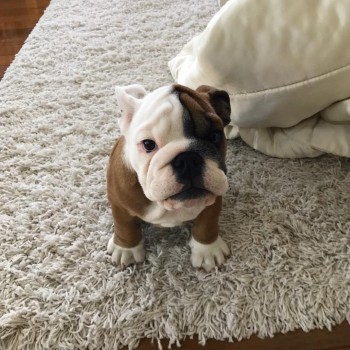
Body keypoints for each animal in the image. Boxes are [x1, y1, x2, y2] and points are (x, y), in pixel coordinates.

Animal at [106, 83, 232, 272]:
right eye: (148, 144)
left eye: (215, 136)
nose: (188, 160)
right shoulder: (120, 204)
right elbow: (124, 226)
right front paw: (126, 249)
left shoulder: (214, 198)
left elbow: (207, 223)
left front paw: (207, 250)